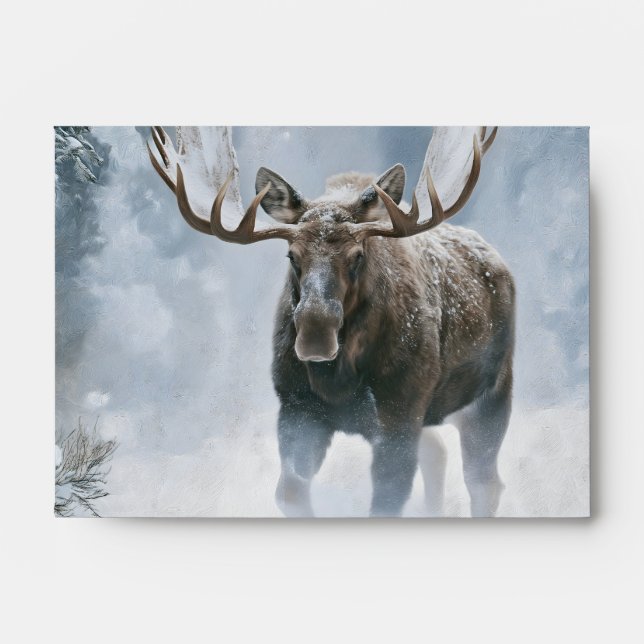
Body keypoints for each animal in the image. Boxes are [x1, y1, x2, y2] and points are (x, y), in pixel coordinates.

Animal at [147, 126, 515, 517]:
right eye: (292, 256)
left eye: (357, 256)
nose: (315, 336)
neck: (340, 381)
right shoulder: (296, 408)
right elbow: (289, 493)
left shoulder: (400, 413)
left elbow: (387, 500)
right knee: (438, 455)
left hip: (491, 394)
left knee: (484, 482)